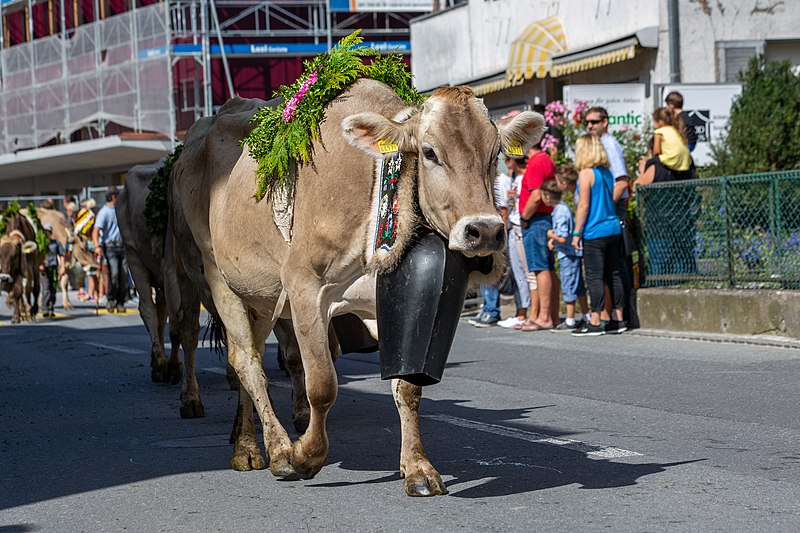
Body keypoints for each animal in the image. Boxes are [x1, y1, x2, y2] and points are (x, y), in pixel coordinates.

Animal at [172, 80, 548, 494]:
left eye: (496, 152)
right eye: (430, 152)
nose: (485, 231)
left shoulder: (385, 300)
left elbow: (408, 387)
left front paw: (417, 468)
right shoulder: (303, 286)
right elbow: (322, 384)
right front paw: (305, 455)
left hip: (262, 297)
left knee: (246, 358)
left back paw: (246, 444)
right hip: (216, 278)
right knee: (245, 361)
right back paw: (275, 450)